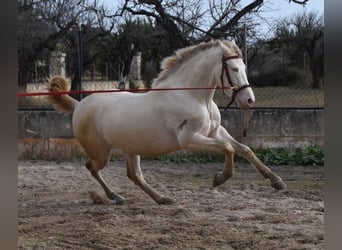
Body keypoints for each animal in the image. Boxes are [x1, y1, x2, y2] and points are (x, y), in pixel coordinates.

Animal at [45, 39, 286, 205]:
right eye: (234, 69)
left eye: (244, 68)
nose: (249, 100)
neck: (194, 96)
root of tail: (79, 105)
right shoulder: (189, 139)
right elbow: (229, 148)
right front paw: (219, 179)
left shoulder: (215, 132)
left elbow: (244, 149)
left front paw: (276, 181)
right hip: (101, 152)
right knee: (92, 167)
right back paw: (115, 196)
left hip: (131, 148)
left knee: (134, 175)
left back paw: (161, 199)